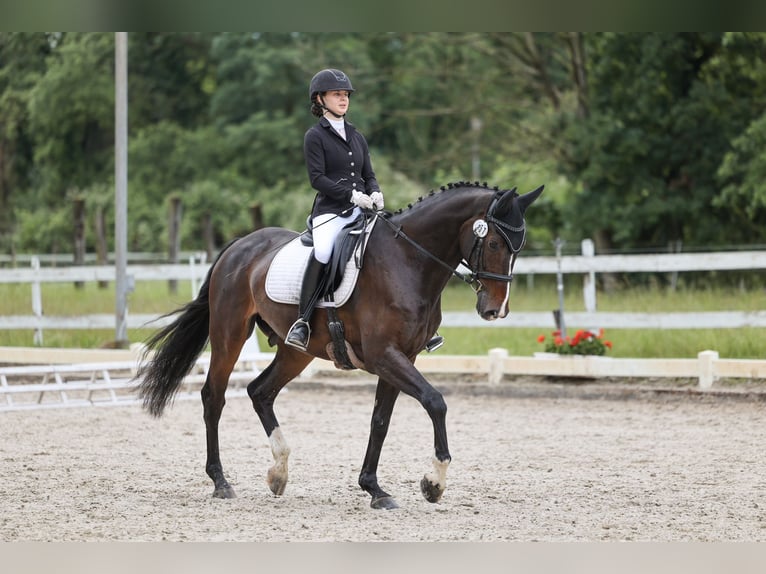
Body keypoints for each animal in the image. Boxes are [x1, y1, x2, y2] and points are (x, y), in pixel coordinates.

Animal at [136, 181, 543, 509]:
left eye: (518, 247)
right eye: (494, 242)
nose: (495, 310)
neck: (408, 262)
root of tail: (240, 244)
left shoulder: (403, 357)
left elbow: (380, 421)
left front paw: (375, 489)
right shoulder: (384, 355)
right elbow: (435, 401)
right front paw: (434, 483)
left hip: (295, 352)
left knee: (260, 391)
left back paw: (279, 472)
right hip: (229, 333)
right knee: (214, 396)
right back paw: (221, 482)